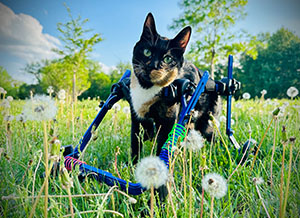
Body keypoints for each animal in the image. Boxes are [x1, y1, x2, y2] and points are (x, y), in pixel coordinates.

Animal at [127, 12, 221, 164]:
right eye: (147, 52)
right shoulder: (137, 120)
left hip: (207, 122)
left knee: (213, 137)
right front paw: (133, 166)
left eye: (168, 59)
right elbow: (135, 146)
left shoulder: (168, 122)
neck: (147, 89)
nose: (152, 66)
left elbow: (162, 146)